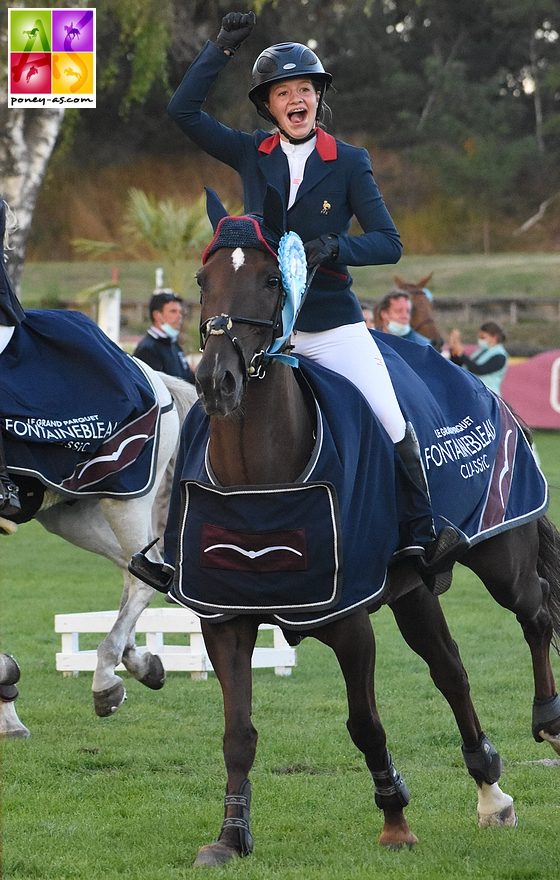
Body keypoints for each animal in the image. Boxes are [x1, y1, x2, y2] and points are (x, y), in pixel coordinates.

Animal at [0, 362, 198, 736]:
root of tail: (152, 375)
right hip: (72, 514)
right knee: (135, 568)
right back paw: (137, 660)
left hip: (124, 499)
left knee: (145, 578)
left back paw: (106, 678)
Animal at [164, 194, 556, 868]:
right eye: (201, 280)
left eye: (273, 281)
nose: (217, 380)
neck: (257, 477)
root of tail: (473, 381)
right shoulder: (224, 620)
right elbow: (238, 733)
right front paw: (230, 836)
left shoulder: (350, 625)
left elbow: (364, 723)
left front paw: (395, 820)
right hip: (413, 588)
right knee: (451, 669)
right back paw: (491, 793)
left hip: (502, 552)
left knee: (535, 614)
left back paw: (548, 719)